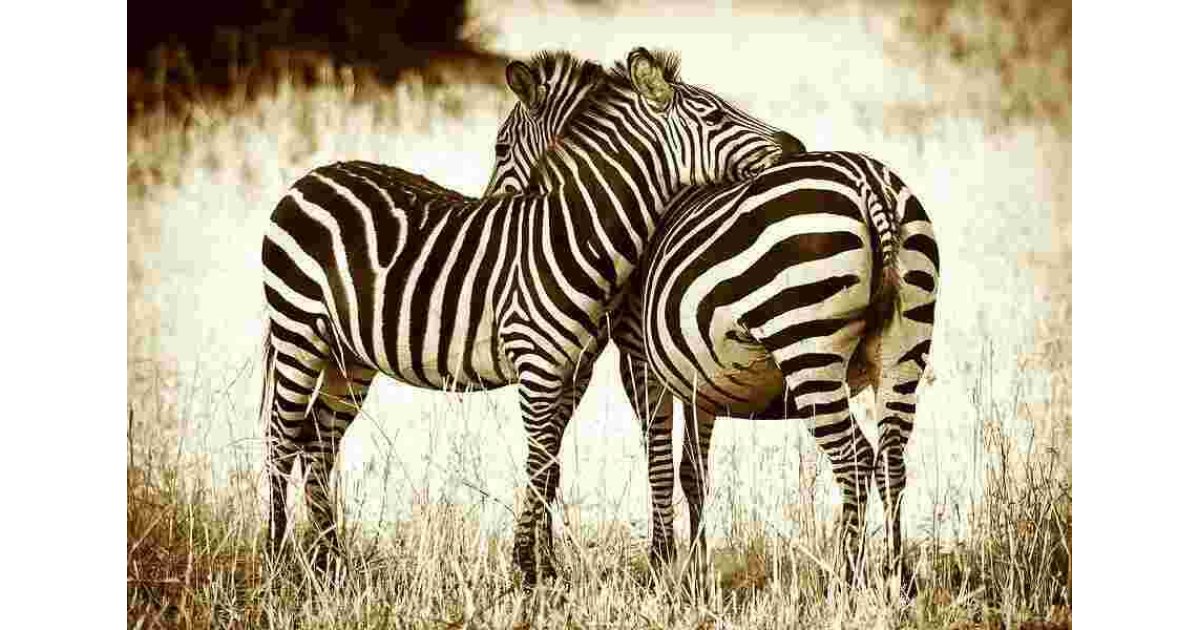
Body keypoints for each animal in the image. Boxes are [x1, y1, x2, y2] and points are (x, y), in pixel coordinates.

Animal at [258, 48, 803, 587]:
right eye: (715, 117)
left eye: (501, 148)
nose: (796, 145)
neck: (573, 236)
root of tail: (313, 175)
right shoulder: (549, 363)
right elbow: (545, 463)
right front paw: (529, 567)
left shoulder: (573, 369)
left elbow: (553, 465)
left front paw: (546, 565)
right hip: (297, 331)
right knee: (282, 438)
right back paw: (278, 556)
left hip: (347, 355)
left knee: (317, 441)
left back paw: (329, 560)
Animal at [487, 76, 938, 588]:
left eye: (501, 148)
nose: (490, 210)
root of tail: (869, 182)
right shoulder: (701, 370)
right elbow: (692, 470)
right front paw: (696, 569)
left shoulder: (638, 357)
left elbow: (658, 460)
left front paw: (661, 561)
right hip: (905, 349)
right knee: (892, 461)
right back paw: (898, 576)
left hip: (808, 348)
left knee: (856, 459)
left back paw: (846, 577)